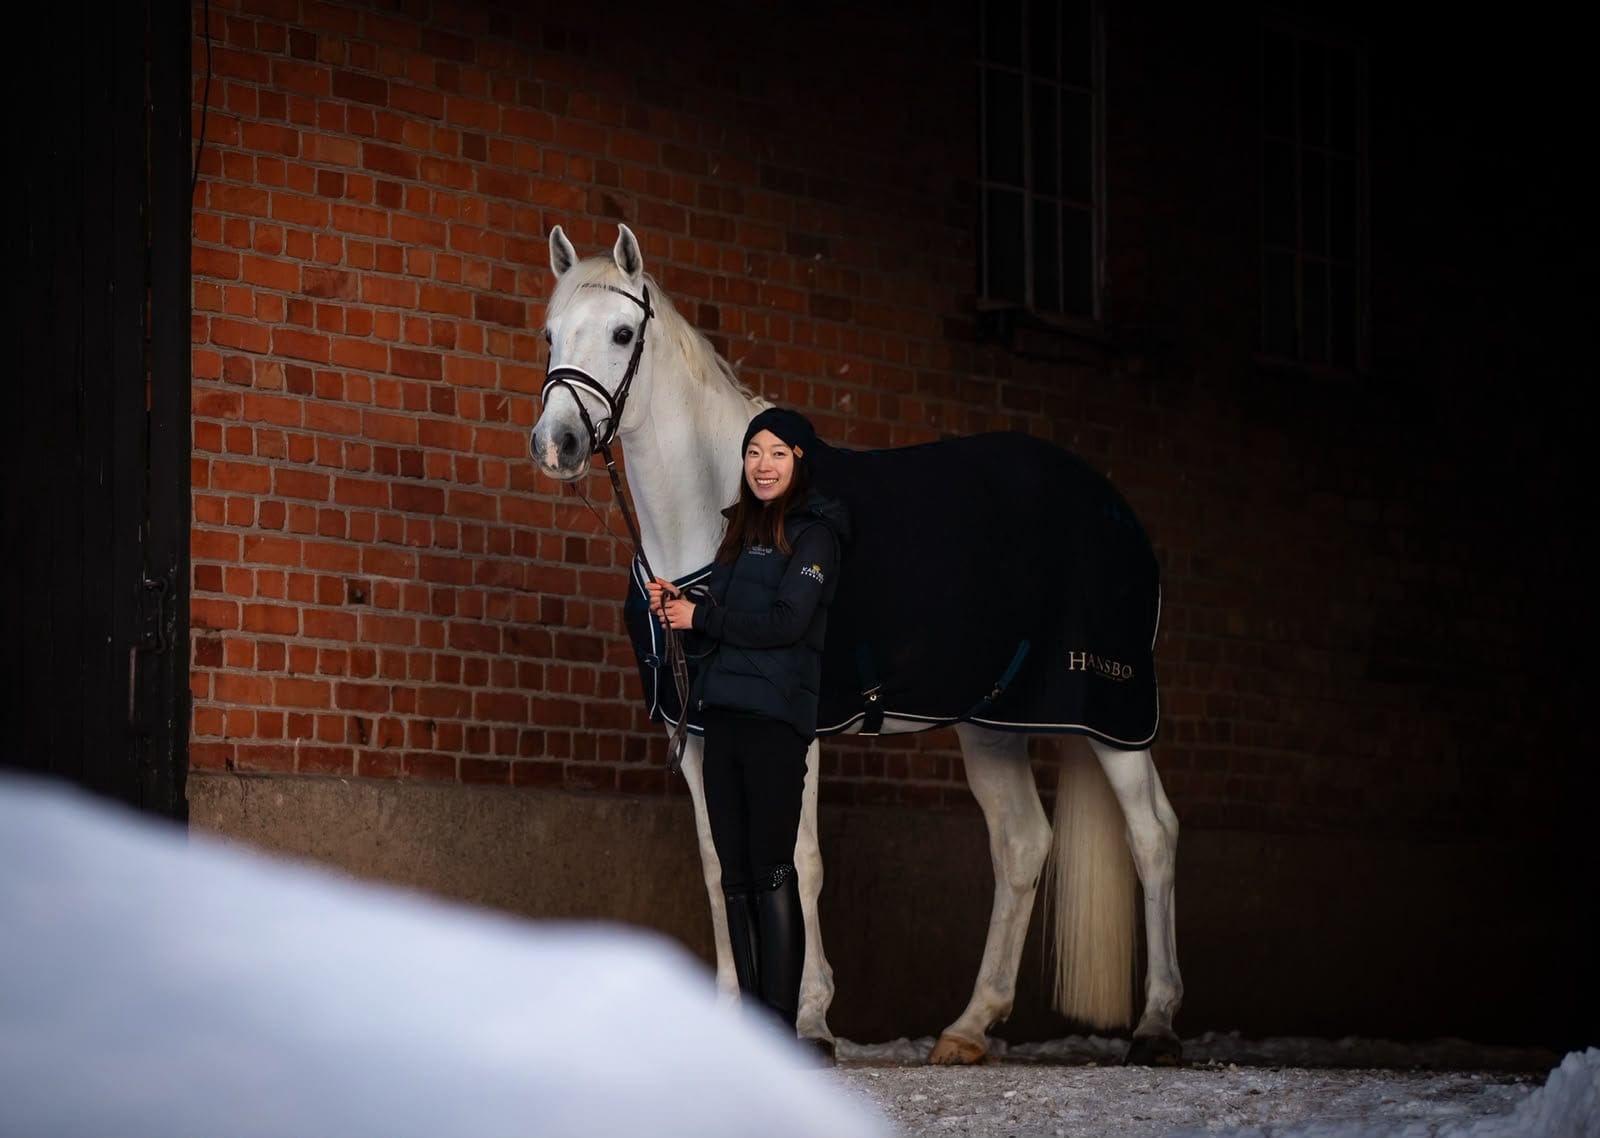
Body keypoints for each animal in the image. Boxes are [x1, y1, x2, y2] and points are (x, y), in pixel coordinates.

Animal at [529, 224, 1183, 1066]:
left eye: (619, 333)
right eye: (550, 336)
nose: (557, 443)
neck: (725, 520)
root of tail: (1115, 510)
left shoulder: (792, 729)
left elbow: (797, 862)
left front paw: (809, 1019)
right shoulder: (703, 734)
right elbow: (719, 863)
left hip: (1113, 708)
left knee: (1153, 835)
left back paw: (1156, 1023)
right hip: (992, 722)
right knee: (1021, 844)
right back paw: (969, 1027)